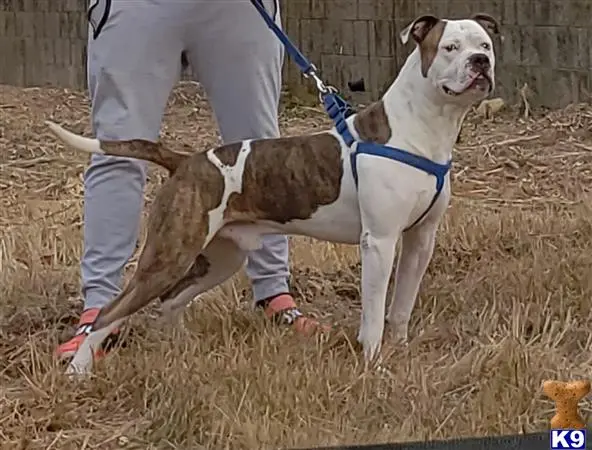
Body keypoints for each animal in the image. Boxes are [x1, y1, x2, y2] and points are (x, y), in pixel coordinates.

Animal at [45, 12, 500, 374]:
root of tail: (186, 160)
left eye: (485, 44)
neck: (422, 127)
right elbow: (373, 313)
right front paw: (373, 363)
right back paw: (79, 369)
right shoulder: (380, 242)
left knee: (171, 301)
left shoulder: (421, 239)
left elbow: (402, 306)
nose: (480, 63)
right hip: (169, 255)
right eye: (449, 48)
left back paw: (181, 352)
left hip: (219, 256)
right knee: (110, 311)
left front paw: (401, 351)